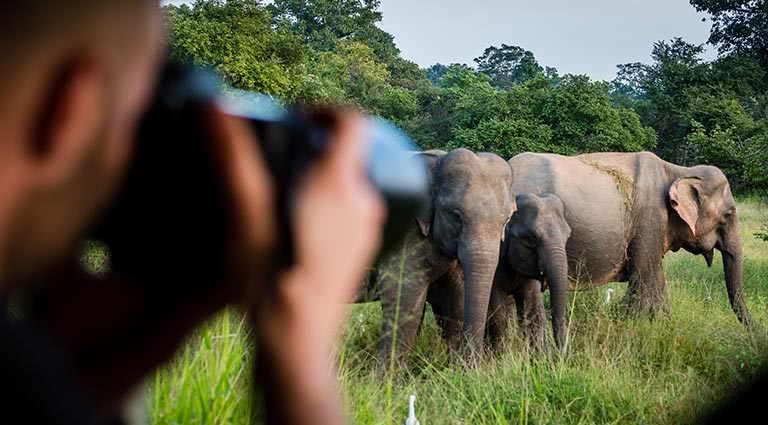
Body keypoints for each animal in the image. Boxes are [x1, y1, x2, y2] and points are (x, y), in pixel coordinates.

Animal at [372, 147, 516, 362]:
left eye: (506, 220)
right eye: (456, 216)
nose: (473, 365)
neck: (436, 160)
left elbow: (455, 300)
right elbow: (403, 298)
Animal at [492, 193, 568, 352]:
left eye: (568, 236)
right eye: (531, 238)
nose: (560, 354)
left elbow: (532, 309)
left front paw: (540, 356)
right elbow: (497, 312)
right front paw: (500, 356)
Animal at [508, 151, 752, 322]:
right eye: (729, 215)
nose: (753, 331)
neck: (677, 170)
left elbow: (656, 280)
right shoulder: (649, 221)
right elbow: (645, 279)